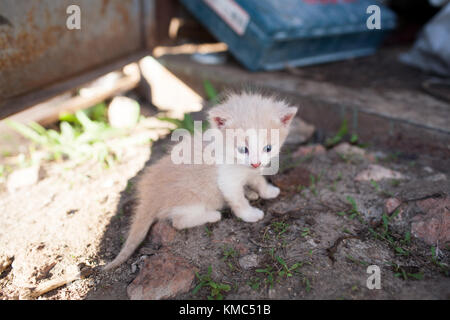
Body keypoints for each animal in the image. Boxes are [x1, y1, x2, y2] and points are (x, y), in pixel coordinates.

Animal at [103, 92, 298, 270]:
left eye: (268, 148)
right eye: (243, 149)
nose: (256, 163)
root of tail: (149, 196)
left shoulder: (252, 171)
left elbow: (258, 180)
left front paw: (267, 191)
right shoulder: (228, 181)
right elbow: (238, 201)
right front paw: (249, 214)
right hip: (190, 200)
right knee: (178, 222)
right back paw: (212, 215)